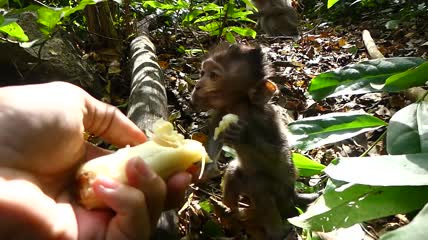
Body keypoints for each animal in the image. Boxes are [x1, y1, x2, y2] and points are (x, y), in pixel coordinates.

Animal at [192, 44, 302, 239]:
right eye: (202, 72)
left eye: (213, 76)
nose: (197, 86)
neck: (240, 107)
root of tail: (293, 193)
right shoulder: (221, 112)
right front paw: (204, 170)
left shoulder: (265, 118)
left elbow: (280, 153)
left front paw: (244, 135)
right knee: (234, 172)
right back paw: (230, 212)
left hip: (282, 193)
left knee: (260, 186)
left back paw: (277, 232)